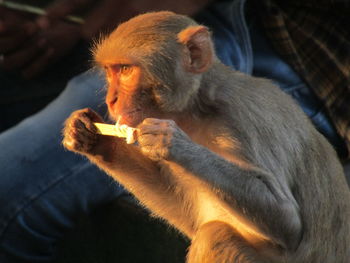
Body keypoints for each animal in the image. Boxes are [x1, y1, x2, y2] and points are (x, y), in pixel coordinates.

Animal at [62, 11, 350, 263]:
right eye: (111, 72)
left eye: (125, 70)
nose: (111, 99)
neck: (200, 106)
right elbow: (188, 216)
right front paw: (91, 137)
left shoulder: (241, 121)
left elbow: (288, 221)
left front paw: (171, 142)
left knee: (215, 235)